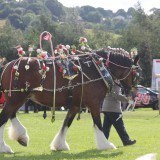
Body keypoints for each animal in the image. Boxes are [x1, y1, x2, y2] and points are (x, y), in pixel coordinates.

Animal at [0, 48, 139, 152]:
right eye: (137, 73)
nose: (134, 94)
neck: (97, 68)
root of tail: (7, 66)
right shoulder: (94, 103)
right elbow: (98, 123)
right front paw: (106, 144)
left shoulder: (76, 105)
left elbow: (66, 123)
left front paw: (59, 145)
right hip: (17, 98)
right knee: (4, 117)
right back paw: (5, 147)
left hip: (16, 98)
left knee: (11, 115)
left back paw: (22, 137)